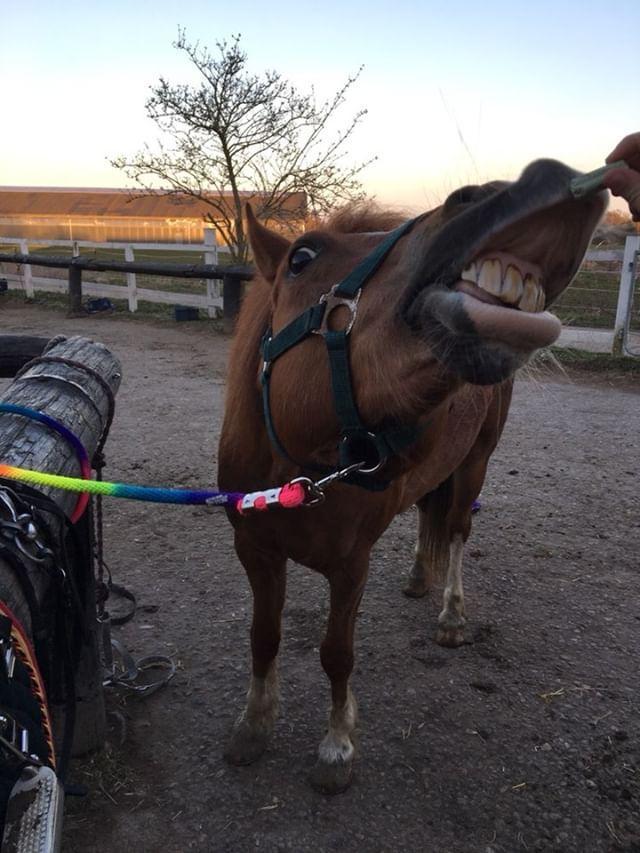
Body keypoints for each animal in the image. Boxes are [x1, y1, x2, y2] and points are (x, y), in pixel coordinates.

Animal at [218, 158, 607, 794]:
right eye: (301, 257)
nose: (533, 182)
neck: (302, 476)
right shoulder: (254, 551)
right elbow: (263, 638)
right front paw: (253, 725)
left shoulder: (350, 567)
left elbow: (336, 653)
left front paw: (337, 746)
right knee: (429, 513)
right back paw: (419, 578)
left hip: (474, 467)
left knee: (456, 530)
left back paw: (450, 613)